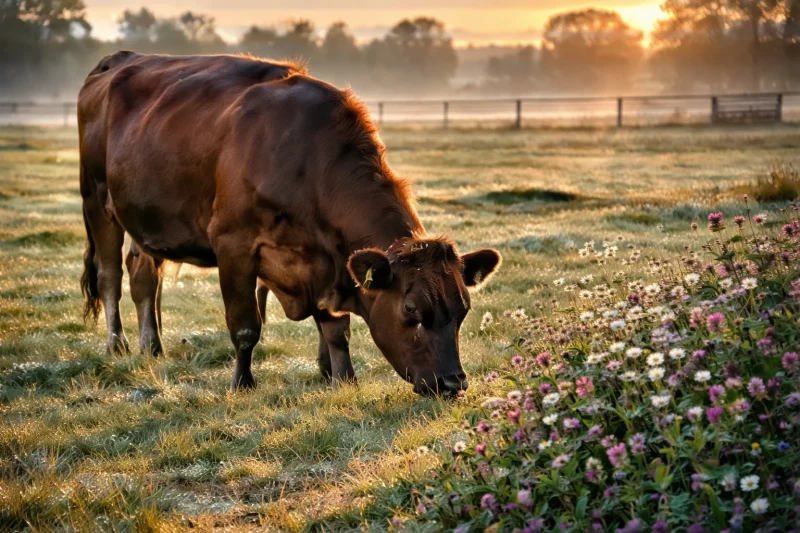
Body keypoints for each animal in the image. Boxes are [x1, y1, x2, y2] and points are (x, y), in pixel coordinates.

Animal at [77, 51, 501, 396]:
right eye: (411, 310)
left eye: (463, 309)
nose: (452, 382)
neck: (305, 160)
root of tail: (119, 59)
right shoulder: (233, 245)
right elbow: (245, 325)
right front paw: (242, 383)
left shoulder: (328, 264)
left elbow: (336, 329)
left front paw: (343, 379)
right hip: (97, 200)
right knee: (110, 274)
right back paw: (116, 344)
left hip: (145, 218)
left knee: (144, 276)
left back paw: (152, 345)